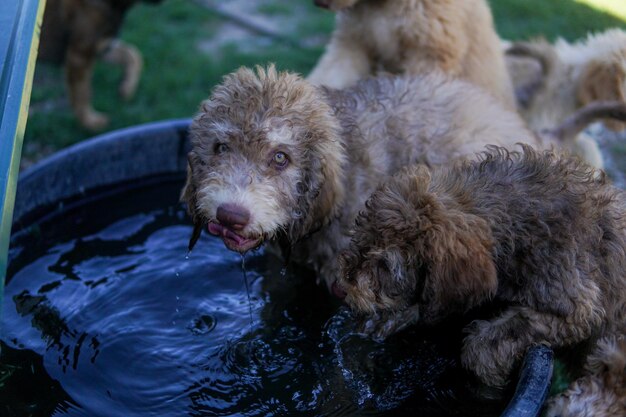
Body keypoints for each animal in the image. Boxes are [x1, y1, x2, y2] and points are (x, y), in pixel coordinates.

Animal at [37, 0, 162, 130]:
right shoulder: (80, 56)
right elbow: (83, 93)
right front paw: (90, 121)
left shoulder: (103, 46)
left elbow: (133, 55)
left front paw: (127, 88)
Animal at [334, 144, 624, 406]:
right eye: (360, 235)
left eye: (385, 265)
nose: (340, 289)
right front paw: (387, 319)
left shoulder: (576, 307)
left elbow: (494, 337)